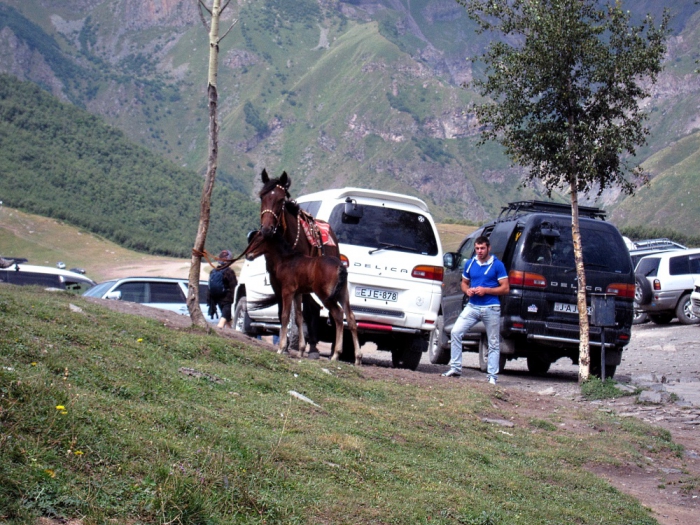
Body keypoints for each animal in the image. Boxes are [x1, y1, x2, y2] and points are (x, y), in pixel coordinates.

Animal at [247, 231, 360, 366]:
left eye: (258, 240)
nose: (248, 255)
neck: (286, 260)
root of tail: (340, 267)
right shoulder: (298, 293)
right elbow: (298, 317)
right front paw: (300, 350)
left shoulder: (287, 291)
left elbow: (285, 316)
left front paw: (281, 348)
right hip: (343, 294)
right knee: (351, 317)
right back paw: (358, 358)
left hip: (325, 296)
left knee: (338, 314)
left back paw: (336, 354)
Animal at [260, 168, 342, 356]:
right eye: (261, 196)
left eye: (281, 200)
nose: (266, 230)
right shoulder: (277, 282)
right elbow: (283, 312)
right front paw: (285, 346)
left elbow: (297, 314)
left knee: (316, 310)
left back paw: (317, 348)